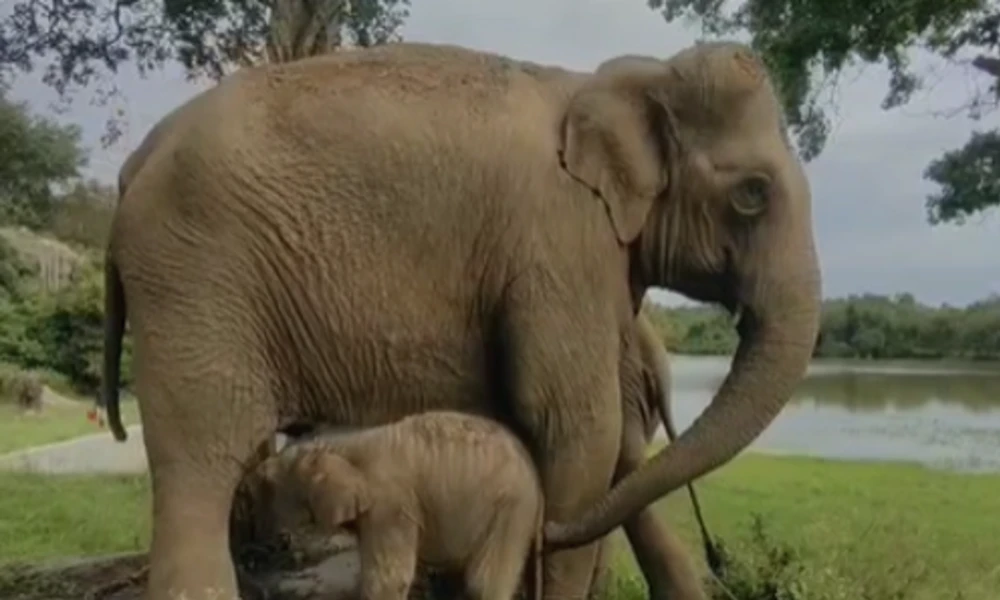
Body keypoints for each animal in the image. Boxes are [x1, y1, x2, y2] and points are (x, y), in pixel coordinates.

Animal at [254, 410, 544, 600]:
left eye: (275, 484)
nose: (260, 469)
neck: (340, 445)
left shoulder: (390, 505)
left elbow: (388, 581)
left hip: (511, 508)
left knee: (484, 583)